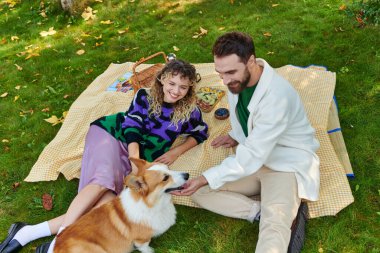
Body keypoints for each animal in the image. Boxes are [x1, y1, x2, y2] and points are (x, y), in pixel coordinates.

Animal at [53, 158, 190, 253]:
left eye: (169, 167)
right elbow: (145, 247)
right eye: (165, 178)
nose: (187, 175)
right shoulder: (141, 239)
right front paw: (150, 251)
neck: (152, 204)